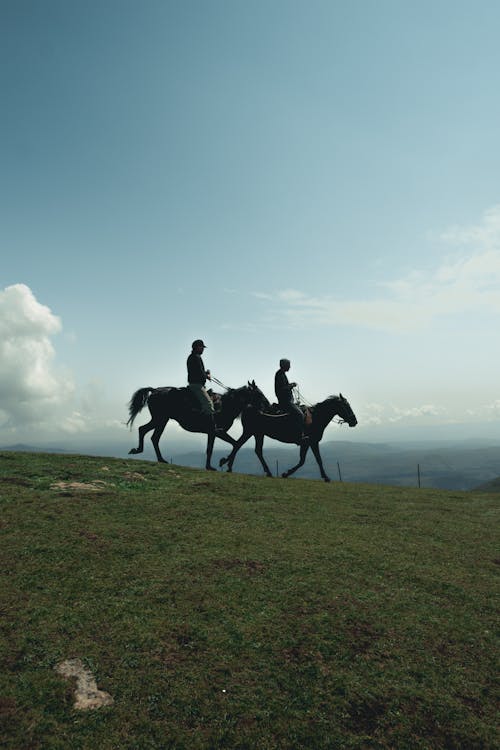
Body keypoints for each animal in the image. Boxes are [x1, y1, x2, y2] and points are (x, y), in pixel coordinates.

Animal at [127, 382, 268, 470]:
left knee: (148, 433)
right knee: (149, 434)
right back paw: (148, 454)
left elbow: (234, 444)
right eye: (259, 394)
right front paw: (214, 465)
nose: (267, 405)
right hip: (160, 419)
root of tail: (155, 390)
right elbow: (215, 448)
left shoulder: (216, 433)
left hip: (160, 420)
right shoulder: (215, 432)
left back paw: (153, 456)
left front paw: (223, 462)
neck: (226, 405)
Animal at [219, 394, 356, 482]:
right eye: (346, 406)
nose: (354, 421)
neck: (315, 418)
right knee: (238, 445)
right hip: (250, 432)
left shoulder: (309, 443)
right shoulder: (309, 442)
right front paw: (287, 473)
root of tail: (248, 406)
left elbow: (311, 460)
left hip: (258, 434)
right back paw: (228, 465)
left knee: (254, 449)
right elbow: (308, 460)